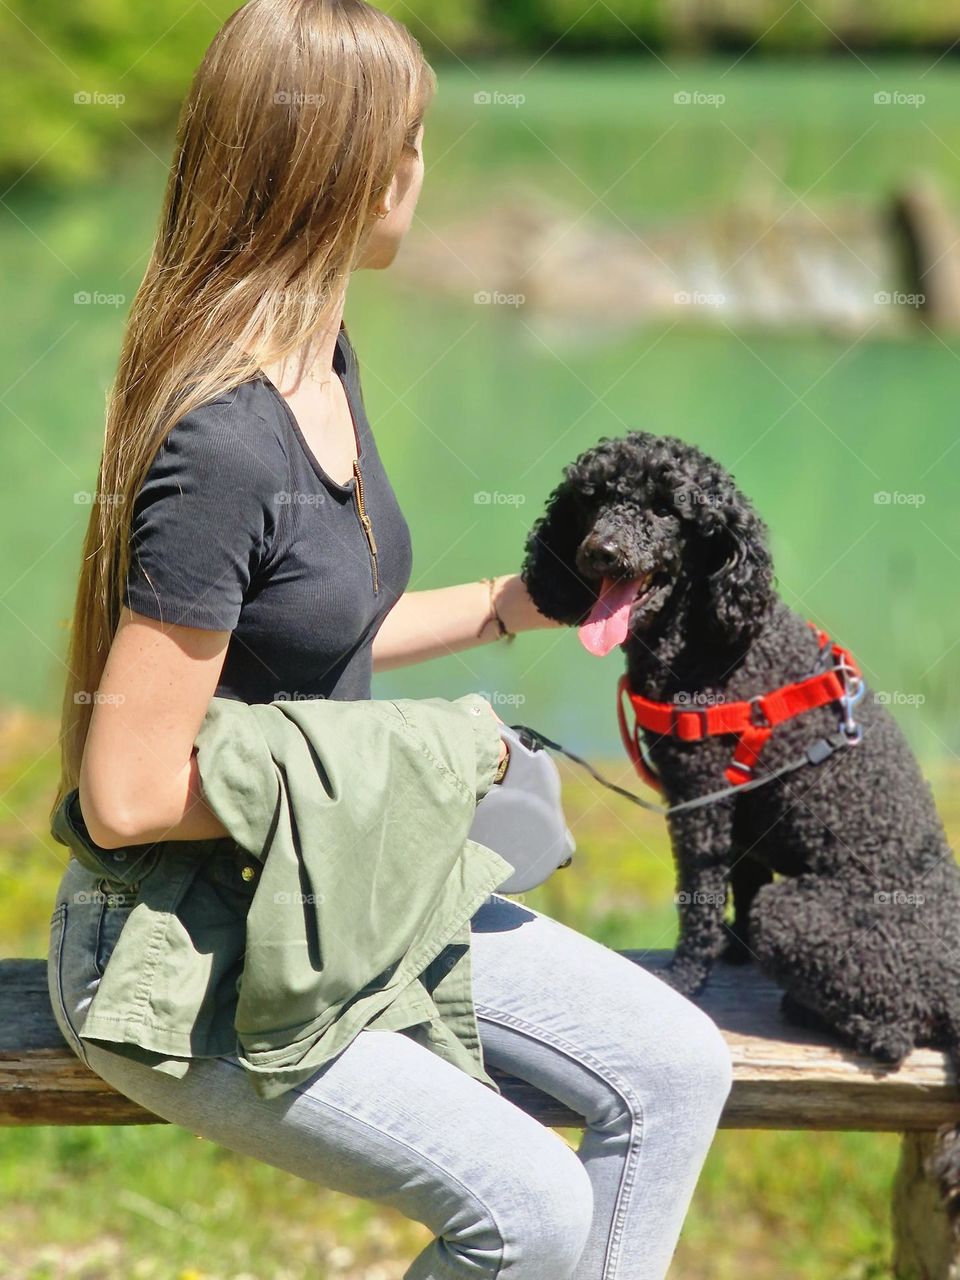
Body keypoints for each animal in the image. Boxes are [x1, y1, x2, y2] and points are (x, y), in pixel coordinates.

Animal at [522, 432, 960, 1218]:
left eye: (667, 508)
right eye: (592, 499)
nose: (601, 550)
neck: (707, 638)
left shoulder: (702, 798)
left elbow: (700, 895)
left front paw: (687, 974)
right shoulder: (738, 810)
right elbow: (740, 881)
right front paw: (732, 955)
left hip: (809, 921)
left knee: (894, 1032)